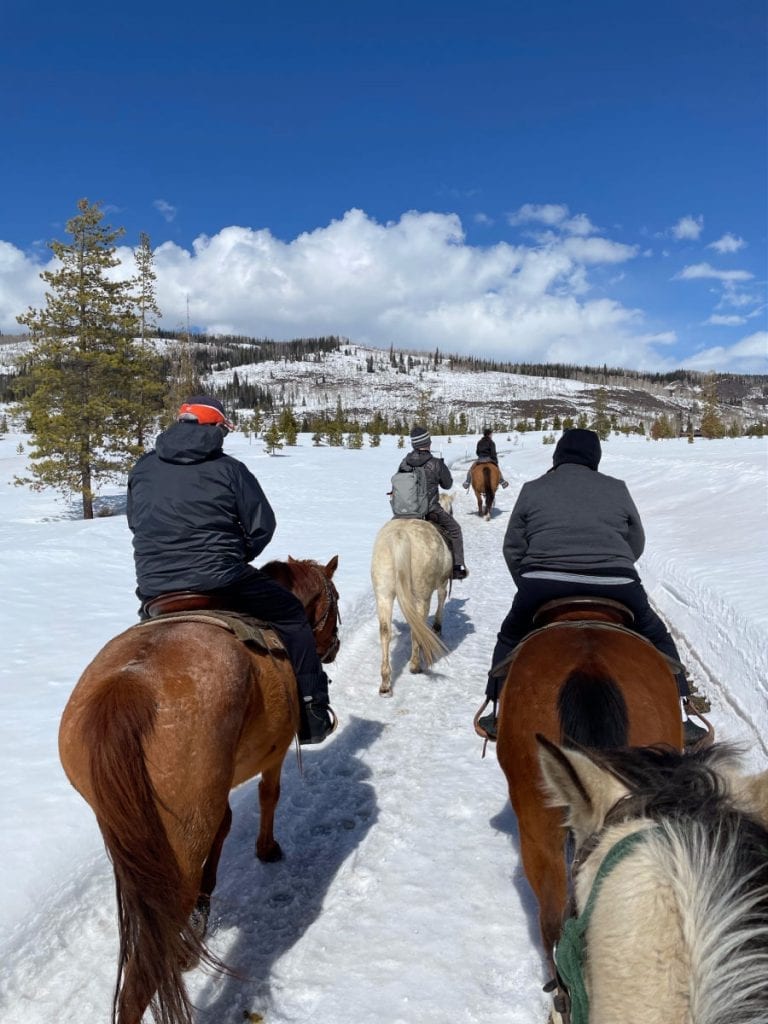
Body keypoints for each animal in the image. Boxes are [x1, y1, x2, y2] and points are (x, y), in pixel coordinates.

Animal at [57, 561, 339, 1024]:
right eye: (334, 600)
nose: (332, 646)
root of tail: (128, 688)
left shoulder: (214, 793)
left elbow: (224, 826)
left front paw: (204, 907)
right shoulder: (274, 752)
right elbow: (269, 795)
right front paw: (267, 849)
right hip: (179, 839)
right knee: (139, 982)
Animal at [370, 493, 454, 696]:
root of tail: (399, 537)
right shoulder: (442, 583)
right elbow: (442, 599)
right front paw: (438, 627)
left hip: (383, 593)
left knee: (385, 631)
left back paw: (385, 684)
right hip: (422, 595)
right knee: (418, 626)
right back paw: (415, 665)